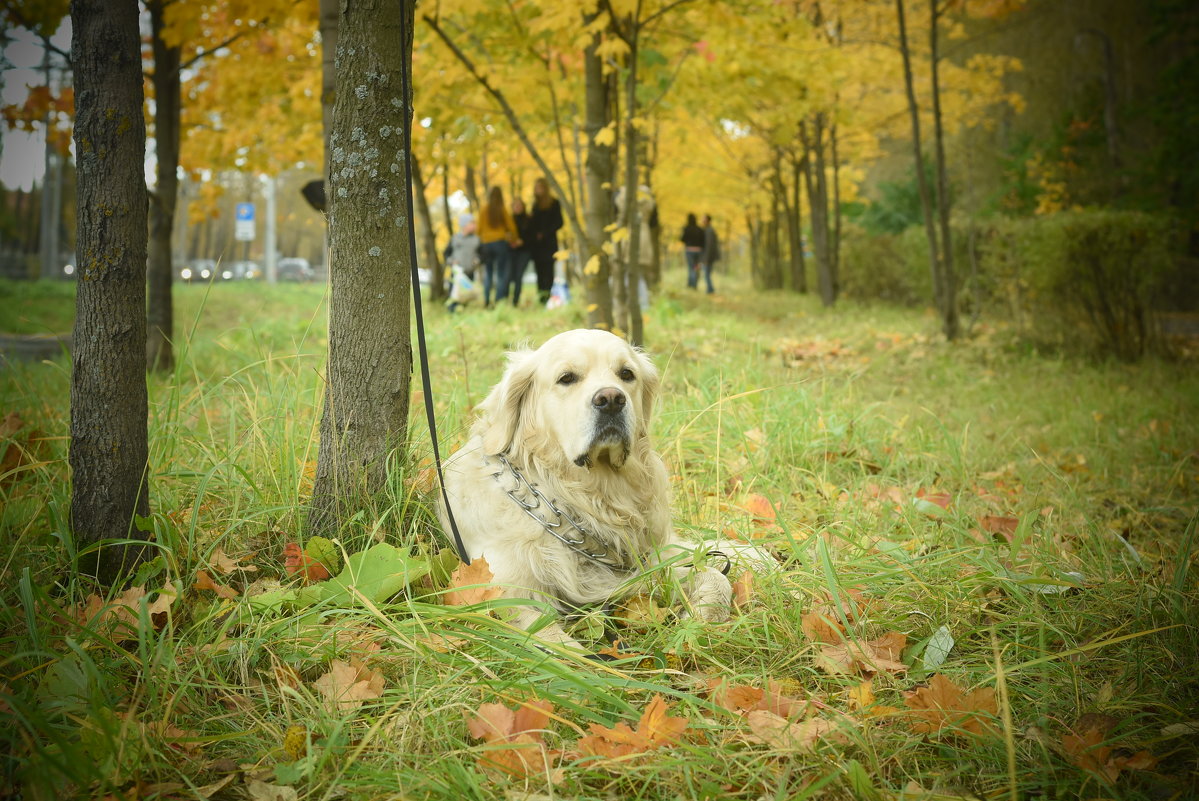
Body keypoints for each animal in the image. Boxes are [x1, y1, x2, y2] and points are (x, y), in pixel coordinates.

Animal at [441, 328, 738, 647]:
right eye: (567, 377)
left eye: (626, 374)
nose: (611, 399)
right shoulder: (505, 589)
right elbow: (556, 643)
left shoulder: (631, 570)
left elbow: (715, 575)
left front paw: (703, 616)